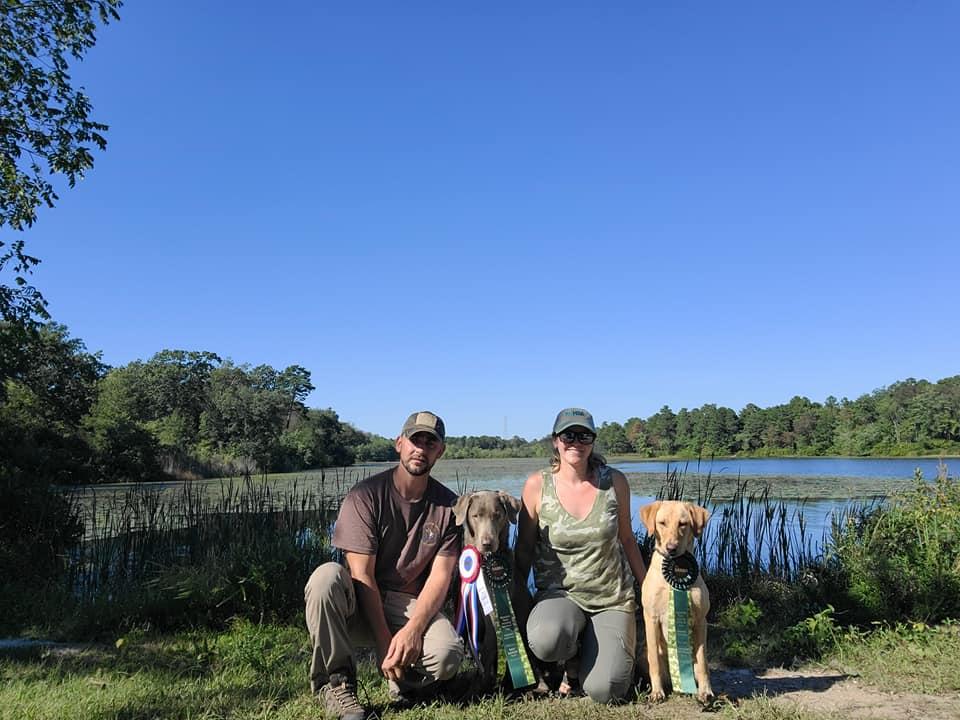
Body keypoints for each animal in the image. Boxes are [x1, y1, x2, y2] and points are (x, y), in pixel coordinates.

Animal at [453, 490, 521, 690]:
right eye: (476, 516)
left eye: (497, 515)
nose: (487, 543)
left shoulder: (493, 612)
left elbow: (489, 647)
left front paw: (482, 686)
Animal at [639, 500, 714, 704]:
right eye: (662, 523)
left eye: (683, 524)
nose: (671, 548)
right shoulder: (651, 618)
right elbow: (654, 662)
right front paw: (656, 692)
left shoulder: (701, 621)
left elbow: (703, 662)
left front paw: (706, 692)